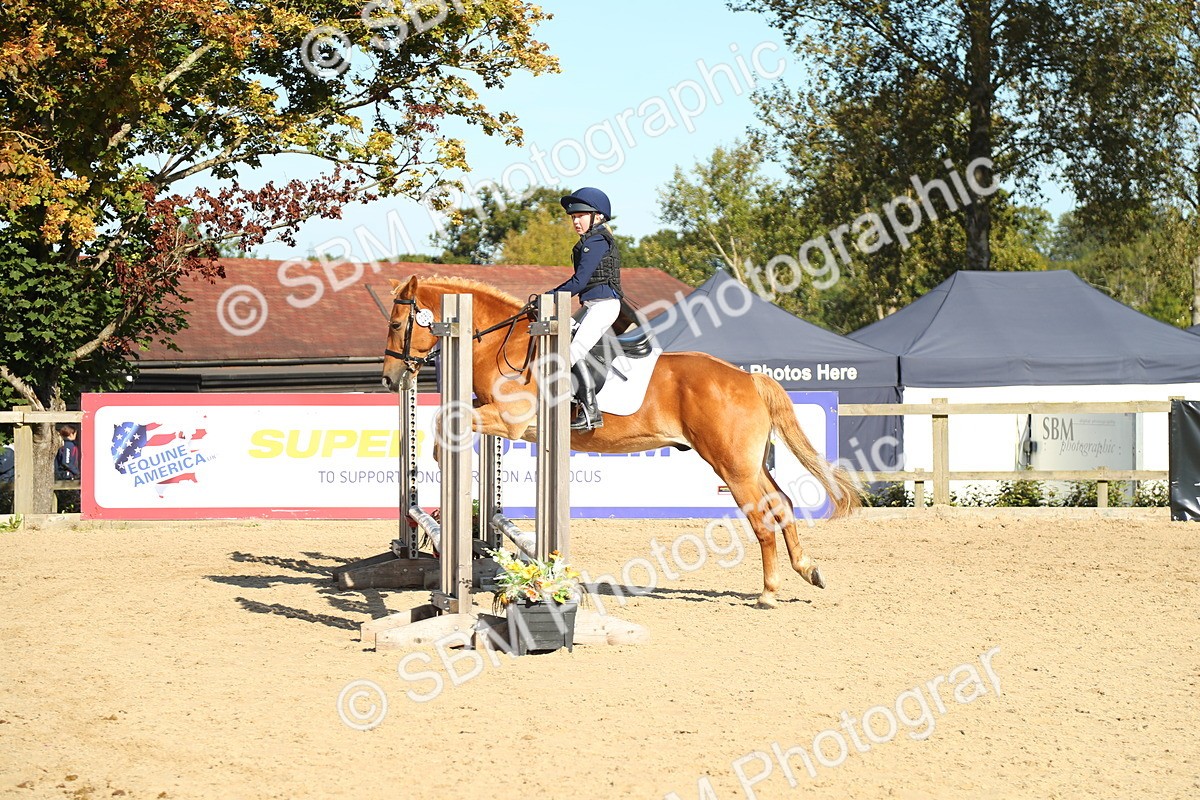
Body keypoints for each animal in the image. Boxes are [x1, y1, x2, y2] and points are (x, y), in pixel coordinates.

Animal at [381, 275, 861, 607]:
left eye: (396, 323)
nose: (389, 379)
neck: (503, 341)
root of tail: (747, 378)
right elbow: (450, 420)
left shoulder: (508, 421)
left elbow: (444, 423)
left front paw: (441, 458)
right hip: (750, 463)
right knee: (782, 503)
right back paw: (807, 570)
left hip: (732, 465)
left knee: (763, 517)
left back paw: (768, 592)